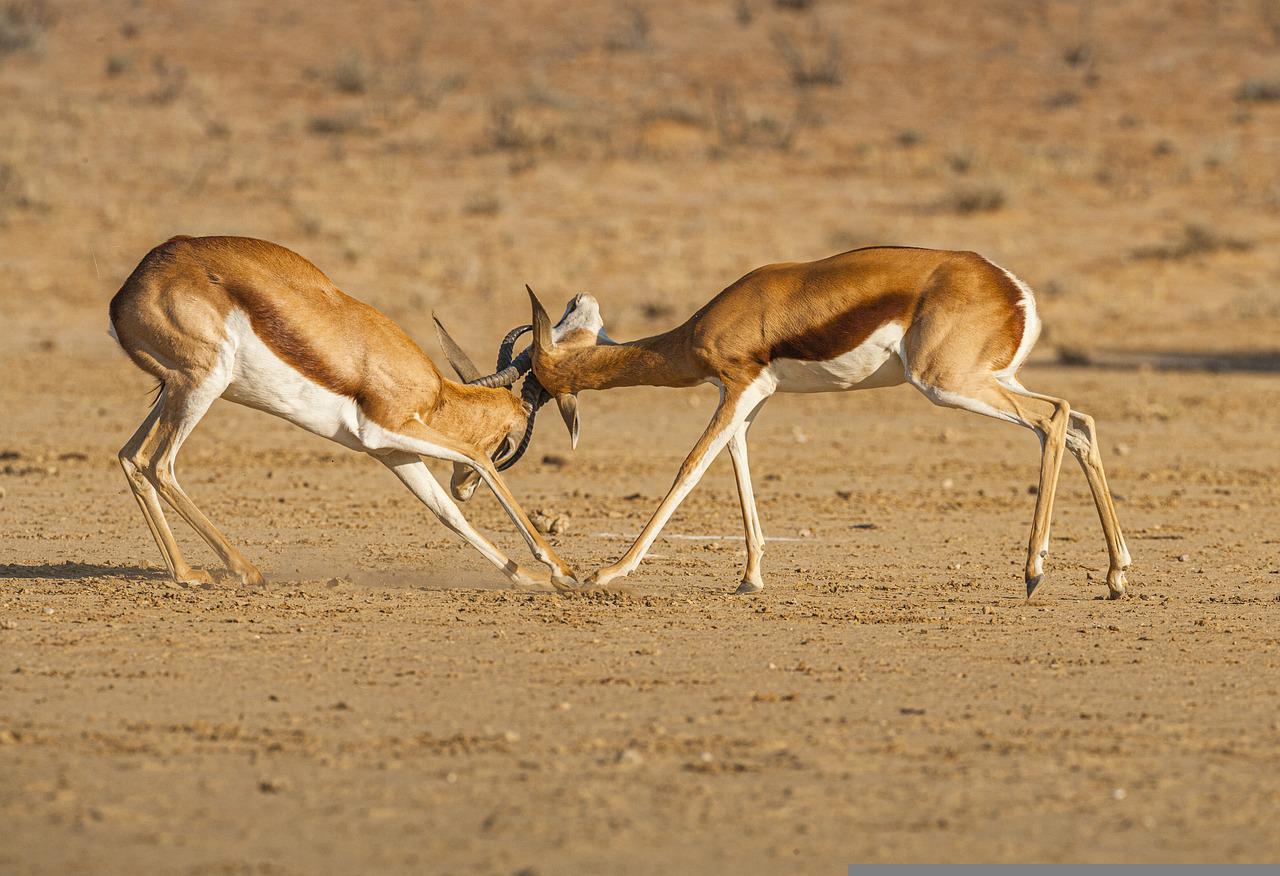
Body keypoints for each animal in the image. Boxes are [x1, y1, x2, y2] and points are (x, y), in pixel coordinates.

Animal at [107, 234, 578, 589]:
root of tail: (127, 291)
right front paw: (562, 572)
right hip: (201, 385)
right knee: (158, 463)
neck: (436, 394)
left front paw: (531, 579)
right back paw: (243, 571)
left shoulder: (393, 451)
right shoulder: (387, 429)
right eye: (509, 443)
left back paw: (187, 573)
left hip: (175, 390)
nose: (462, 488)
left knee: (130, 457)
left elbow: (448, 513)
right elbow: (477, 458)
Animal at [468, 248, 1131, 594]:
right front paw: (750, 578)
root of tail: (1013, 290)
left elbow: (690, 466)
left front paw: (608, 571)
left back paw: (1035, 571)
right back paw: (1117, 574)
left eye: (534, 376)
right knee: (1081, 423)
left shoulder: (738, 387)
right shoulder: (750, 398)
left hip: (949, 384)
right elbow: (737, 465)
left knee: (1053, 418)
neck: (699, 329)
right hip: (993, 379)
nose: (578, 296)